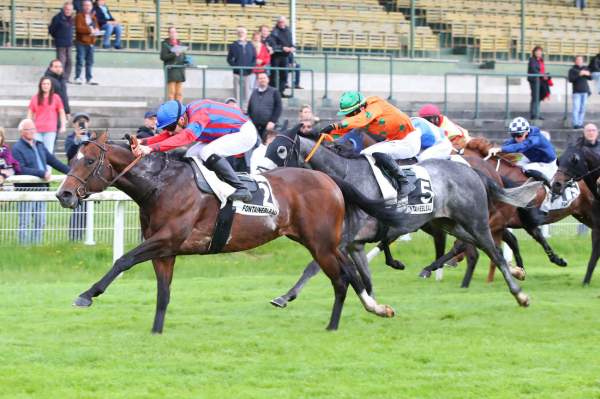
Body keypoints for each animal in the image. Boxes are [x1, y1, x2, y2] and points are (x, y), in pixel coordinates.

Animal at [55, 134, 394, 334]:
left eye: (88, 161)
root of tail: (331, 180)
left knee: (341, 279)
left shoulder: (166, 239)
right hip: (321, 242)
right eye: (72, 159)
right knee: (349, 273)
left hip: (320, 243)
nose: (63, 194)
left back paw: (334, 325)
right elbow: (163, 293)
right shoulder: (165, 251)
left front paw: (87, 295)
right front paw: (156, 332)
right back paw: (375, 308)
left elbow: (122, 261)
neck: (161, 185)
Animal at [260, 131, 540, 306]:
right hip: (450, 223)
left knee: (493, 251)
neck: (346, 177)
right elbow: (366, 278)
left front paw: (284, 297)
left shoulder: (341, 240)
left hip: (476, 221)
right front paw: (374, 304)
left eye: (281, 150)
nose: (262, 176)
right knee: (473, 247)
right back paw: (513, 272)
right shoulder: (354, 243)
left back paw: (519, 293)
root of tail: (472, 171)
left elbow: (312, 267)